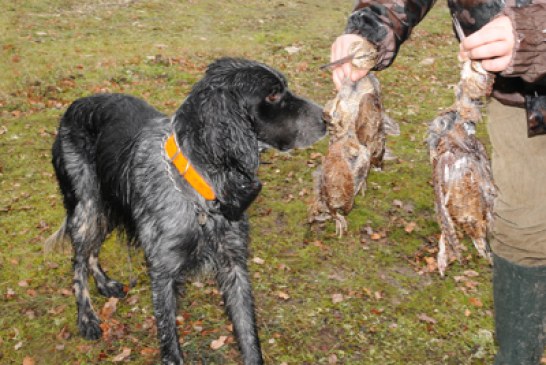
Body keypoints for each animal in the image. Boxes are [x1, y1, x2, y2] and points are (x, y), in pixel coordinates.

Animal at [47, 58, 324, 362]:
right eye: (273, 95)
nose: (327, 119)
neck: (200, 195)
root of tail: (74, 106)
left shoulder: (234, 264)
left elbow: (248, 334)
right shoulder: (163, 273)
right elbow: (169, 341)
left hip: (104, 207)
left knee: (92, 251)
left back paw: (104, 283)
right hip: (88, 206)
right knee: (78, 259)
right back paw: (86, 317)